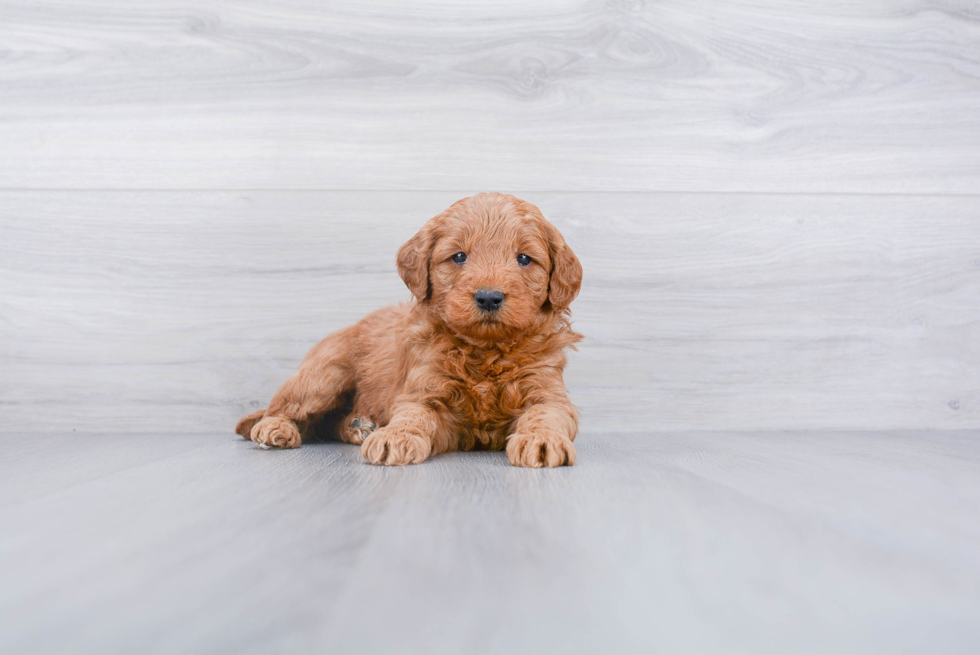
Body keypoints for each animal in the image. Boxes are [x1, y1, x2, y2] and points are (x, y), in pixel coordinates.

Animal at [235, 192, 580, 468]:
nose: (489, 297)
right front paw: (395, 436)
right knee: (282, 409)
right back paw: (275, 428)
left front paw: (542, 440)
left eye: (524, 258)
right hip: (325, 374)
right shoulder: (423, 391)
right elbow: (413, 415)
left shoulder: (547, 392)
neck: (486, 350)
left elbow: (546, 414)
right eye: (459, 256)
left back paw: (359, 426)